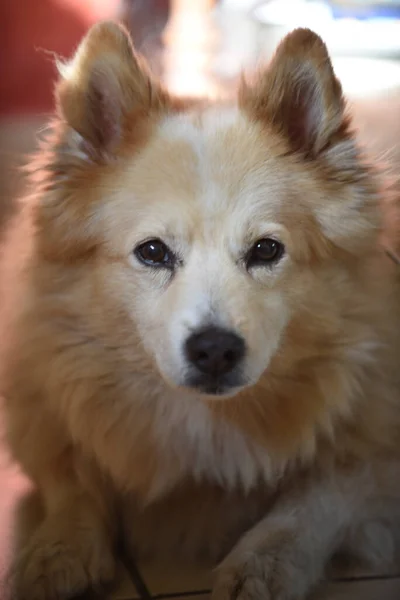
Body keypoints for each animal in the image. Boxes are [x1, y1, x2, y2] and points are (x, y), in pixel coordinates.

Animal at [3, 19, 400, 600]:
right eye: (152, 252)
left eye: (266, 250)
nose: (215, 350)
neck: (206, 424)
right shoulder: (47, 413)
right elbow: (73, 478)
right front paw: (58, 550)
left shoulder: (375, 452)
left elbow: (317, 497)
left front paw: (263, 565)